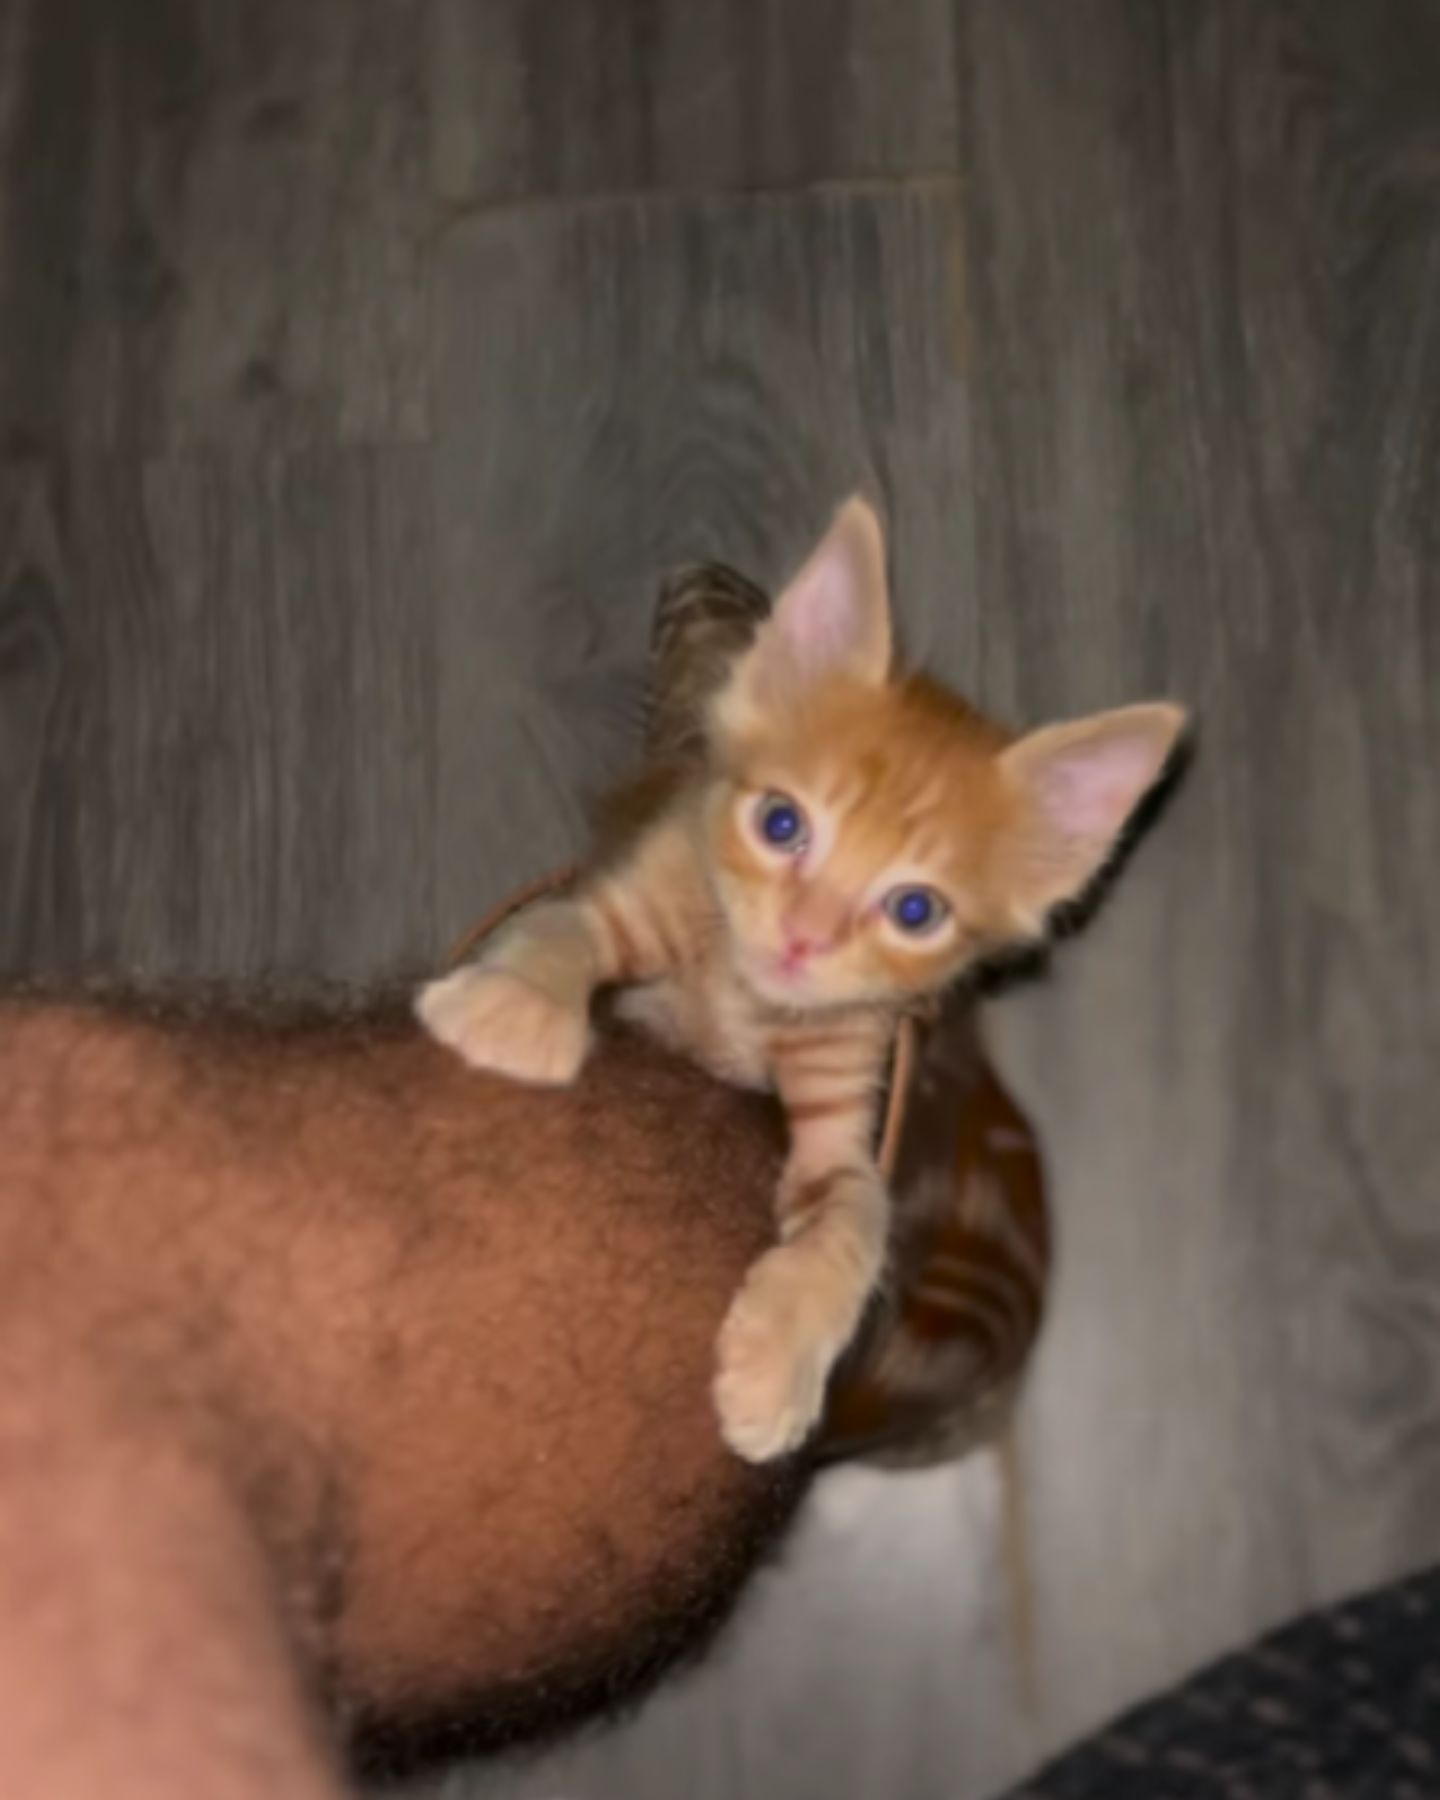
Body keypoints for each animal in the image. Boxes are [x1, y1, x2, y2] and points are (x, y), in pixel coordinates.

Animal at [415, 493, 1180, 1461]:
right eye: (781, 823)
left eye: (915, 910)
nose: (803, 941)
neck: (741, 1002)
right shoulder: (633, 885)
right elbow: (560, 929)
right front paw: (517, 1009)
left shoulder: (849, 1086)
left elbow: (854, 1217)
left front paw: (776, 1364)